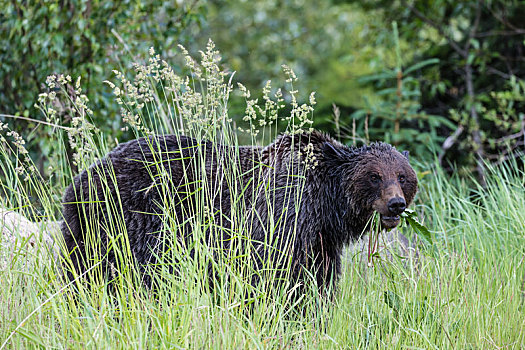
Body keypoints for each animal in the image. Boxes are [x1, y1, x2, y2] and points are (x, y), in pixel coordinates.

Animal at [59, 130, 416, 292]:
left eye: (402, 176)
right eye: (374, 176)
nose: (396, 204)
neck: (326, 205)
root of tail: (81, 176)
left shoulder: (320, 241)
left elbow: (317, 280)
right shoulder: (281, 220)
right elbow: (278, 279)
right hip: (122, 221)